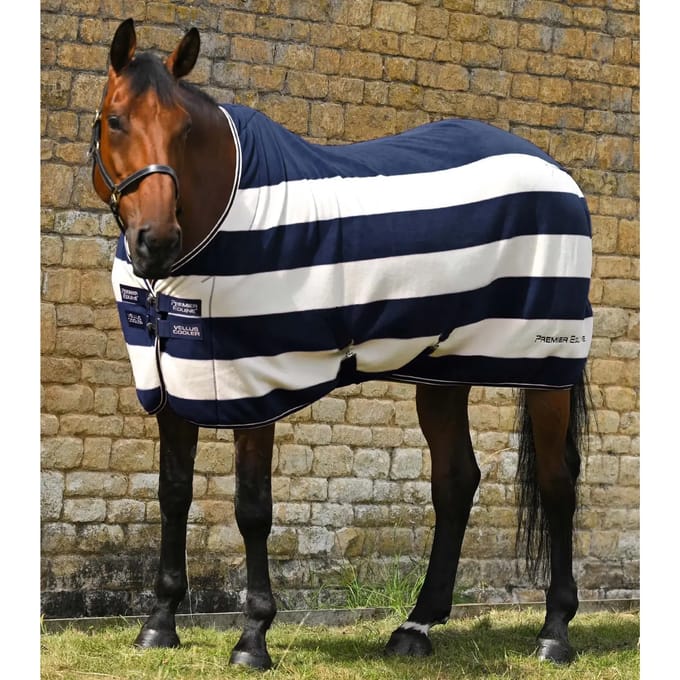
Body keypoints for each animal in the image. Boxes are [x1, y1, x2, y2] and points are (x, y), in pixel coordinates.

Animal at [90, 18, 593, 670]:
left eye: (185, 129)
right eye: (115, 120)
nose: (156, 241)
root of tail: (557, 173)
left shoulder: (256, 388)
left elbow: (252, 509)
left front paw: (253, 638)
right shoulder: (174, 384)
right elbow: (173, 494)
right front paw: (159, 624)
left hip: (546, 366)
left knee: (557, 483)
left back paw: (555, 631)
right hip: (444, 369)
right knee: (456, 480)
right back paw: (416, 626)